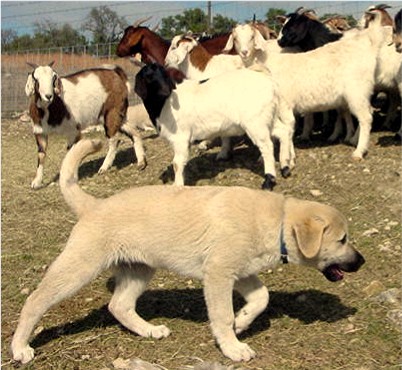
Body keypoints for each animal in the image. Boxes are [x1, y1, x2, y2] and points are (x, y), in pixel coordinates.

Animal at [11, 140, 364, 362]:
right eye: (343, 239)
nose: (361, 261)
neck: (275, 219)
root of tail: (93, 205)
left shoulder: (241, 272)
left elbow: (261, 299)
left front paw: (242, 323)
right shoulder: (218, 274)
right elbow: (221, 315)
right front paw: (233, 346)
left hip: (140, 270)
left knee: (119, 305)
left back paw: (149, 330)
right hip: (79, 268)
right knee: (35, 301)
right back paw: (20, 348)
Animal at [135, 63, 292, 189]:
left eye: (165, 74)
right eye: (148, 76)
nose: (166, 91)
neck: (163, 104)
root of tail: (268, 81)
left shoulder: (180, 137)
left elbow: (177, 163)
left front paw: (177, 185)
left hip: (255, 121)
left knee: (267, 147)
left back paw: (269, 180)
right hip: (268, 117)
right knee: (283, 131)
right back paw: (285, 166)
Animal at [225, 16, 388, 160]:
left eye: (252, 36)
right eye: (235, 38)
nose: (244, 52)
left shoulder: (285, 104)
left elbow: (289, 126)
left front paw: (289, 156)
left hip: (356, 92)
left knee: (366, 118)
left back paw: (359, 152)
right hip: (360, 94)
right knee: (368, 113)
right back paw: (354, 140)